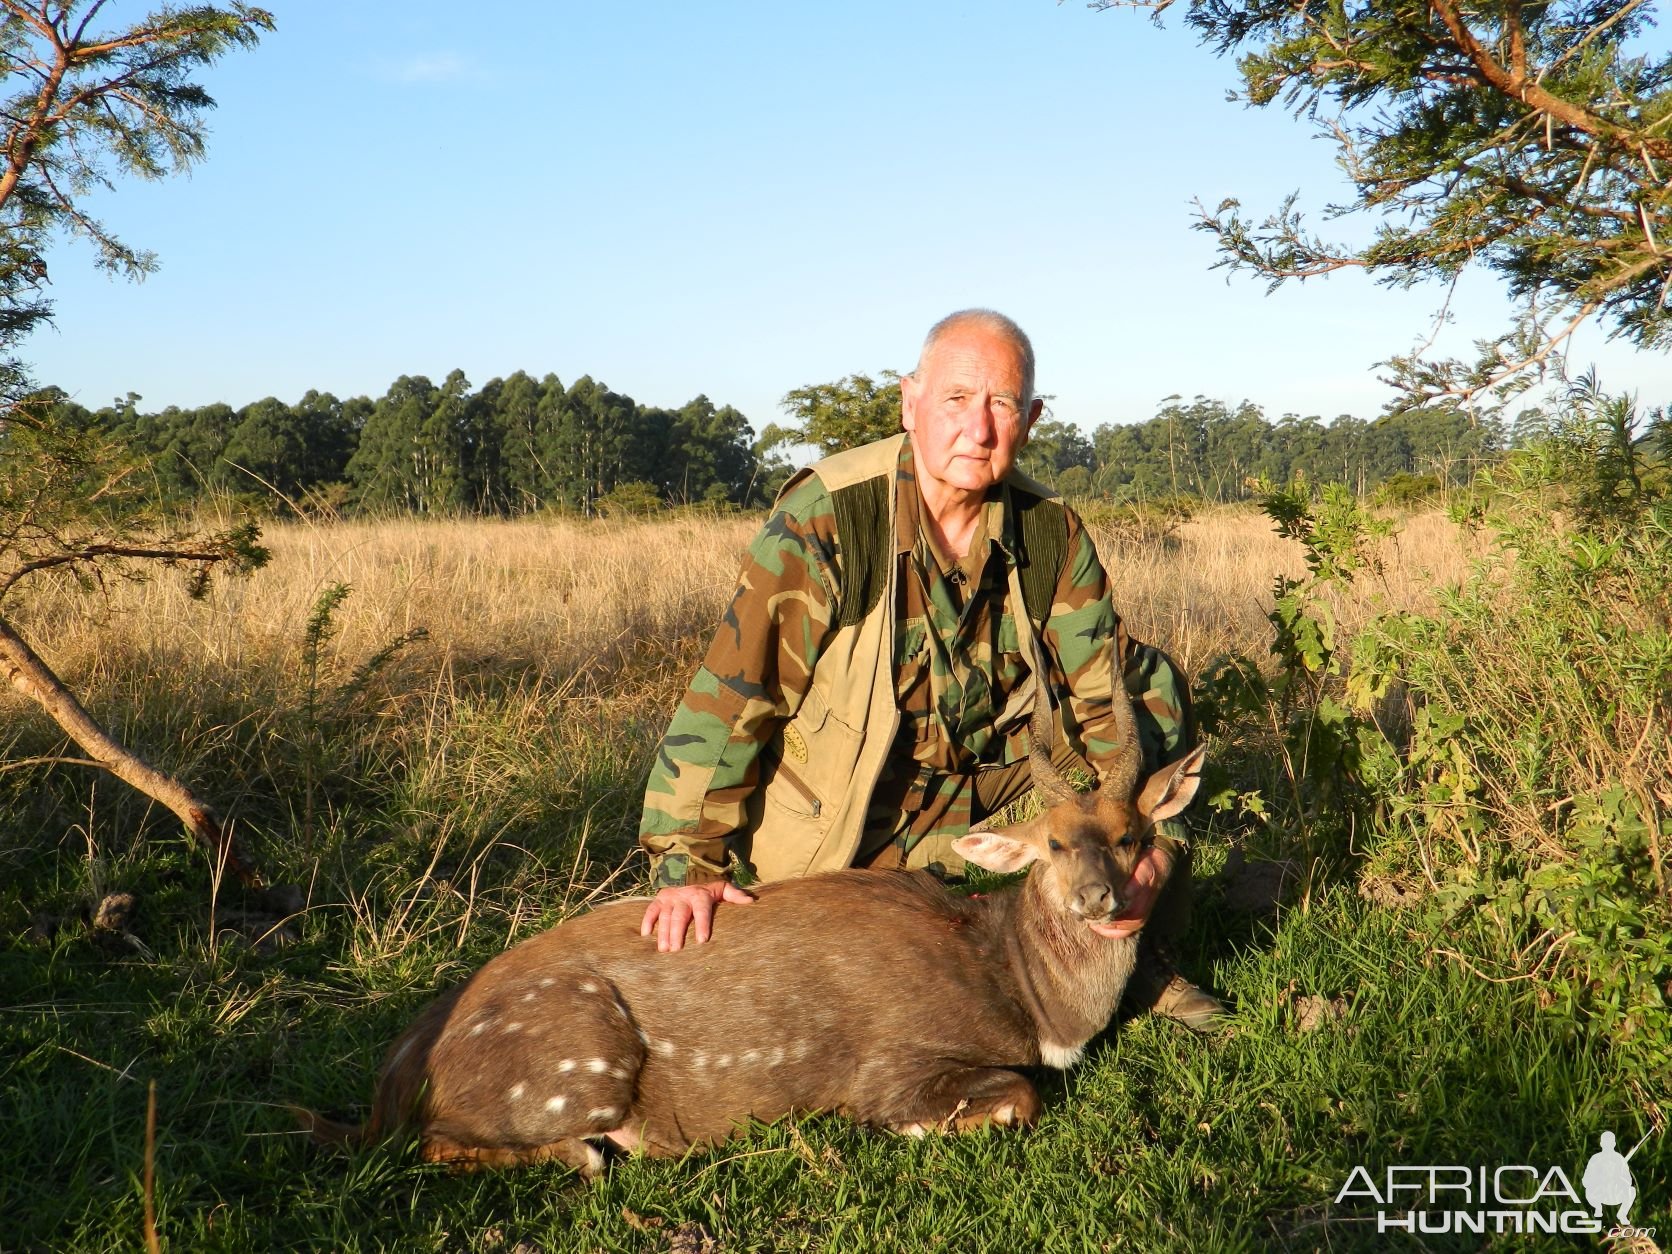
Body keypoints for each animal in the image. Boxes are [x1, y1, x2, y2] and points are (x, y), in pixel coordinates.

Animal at [307, 698, 1203, 1177]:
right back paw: (597, 1150)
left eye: (1130, 836)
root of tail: (393, 1083)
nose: (1097, 897)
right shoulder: (897, 1063)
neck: (1022, 993)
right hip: (578, 1062)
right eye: (1052, 843)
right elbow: (1018, 1097)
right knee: (450, 1145)